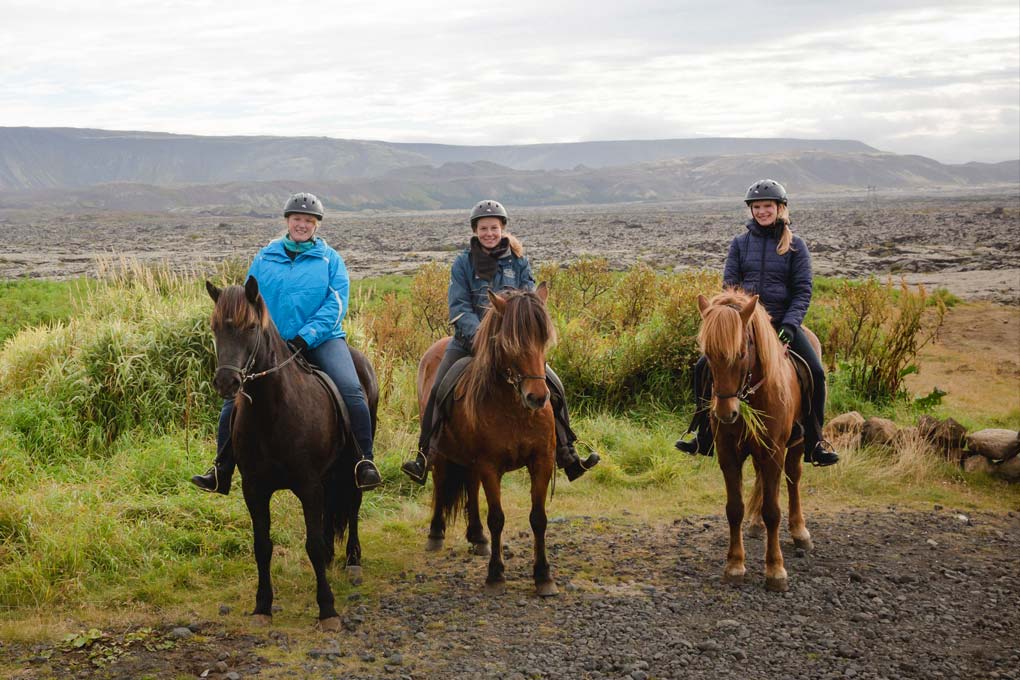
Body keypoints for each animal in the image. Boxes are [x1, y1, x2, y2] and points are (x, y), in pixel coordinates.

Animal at [205, 279, 377, 632]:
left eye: (251, 327)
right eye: (215, 328)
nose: (227, 382)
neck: (272, 412)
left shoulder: (308, 485)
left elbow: (311, 543)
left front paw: (327, 610)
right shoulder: (254, 489)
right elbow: (262, 545)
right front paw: (262, 606)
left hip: (350, 468)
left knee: (353, 505)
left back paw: (352, 560)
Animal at [414, 285, 558, 591]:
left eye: (544, 339)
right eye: (510, 343)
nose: (537, 397)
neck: (515, 411)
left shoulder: (541, 461)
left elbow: (538, 518)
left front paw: (543, 575)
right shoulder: (490, 465)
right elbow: (497, 518)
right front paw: (495, 573)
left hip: (469, 459)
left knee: (470, 483)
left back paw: (477, 536)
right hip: (442, 453)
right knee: (440, 481)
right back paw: (436, 534)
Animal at [697, 287, 816, 591]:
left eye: (740, 354)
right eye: (708, 354)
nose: (726, 413)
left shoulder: (774, 451)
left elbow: (773, 511)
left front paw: (775, 570)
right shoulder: (728, 454)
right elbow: (734, 509)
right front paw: (735, 565)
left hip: (795, 446)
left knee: (793, 478)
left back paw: (800, 531)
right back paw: (755, 525)